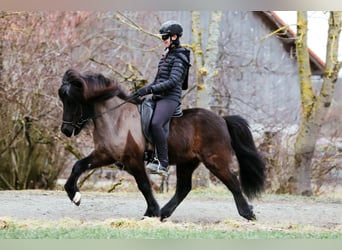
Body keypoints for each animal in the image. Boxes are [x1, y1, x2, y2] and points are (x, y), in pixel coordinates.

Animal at [58, 68, 266, 221]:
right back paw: (165, 213)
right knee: (183, 188)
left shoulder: (133, 159)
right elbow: (78, 166)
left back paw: (248, 213)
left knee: (232, 181)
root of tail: (222, 120)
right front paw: (74, 195)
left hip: (215, 160)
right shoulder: (105, 154)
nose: (66, 130)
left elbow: (144, 185)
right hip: (187, 162)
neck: (116, 118)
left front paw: (152, 211)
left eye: (73, 100)